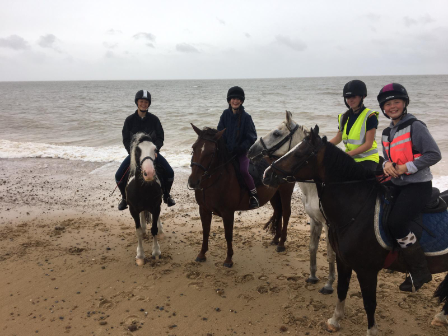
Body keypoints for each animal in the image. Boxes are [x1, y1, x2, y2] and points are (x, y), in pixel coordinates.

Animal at [126, 132, 164, 266]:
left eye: (155, 149)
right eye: (137, 150)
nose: (149, 173)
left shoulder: (156, 207)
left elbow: (154, 229)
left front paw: (156, 252)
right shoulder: (133, 210)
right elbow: (138, 232)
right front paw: (140, 256)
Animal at [188, 124, 296, 268]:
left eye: (211, 153)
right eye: (194, 147)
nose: (193, 181)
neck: (215, 181)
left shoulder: (228, 212)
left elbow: (228, 234)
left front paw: (228, 259)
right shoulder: (204, 209)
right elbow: (205, 231)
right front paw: (202, 254)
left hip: (285, 191)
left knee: (286, 213)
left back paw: (282, 243)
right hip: (274, 194)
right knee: (278, 211)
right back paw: (275, 239)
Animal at [248, 111, 336, 294]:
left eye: (276, 133)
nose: (251, 150)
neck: (316, 187)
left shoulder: (328, 224)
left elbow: (330, 253)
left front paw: (329, 284)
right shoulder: (315, 221)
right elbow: (312, 247)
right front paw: (312, 277)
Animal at [264, 125, 448, 334]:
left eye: (299, 154)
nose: (266, 174)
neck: (357, 209)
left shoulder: (366, 270)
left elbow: (369, 303)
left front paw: (371, 331)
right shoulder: (344, 261)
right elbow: (341, 289)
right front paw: (335, 320)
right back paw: (441, 317)